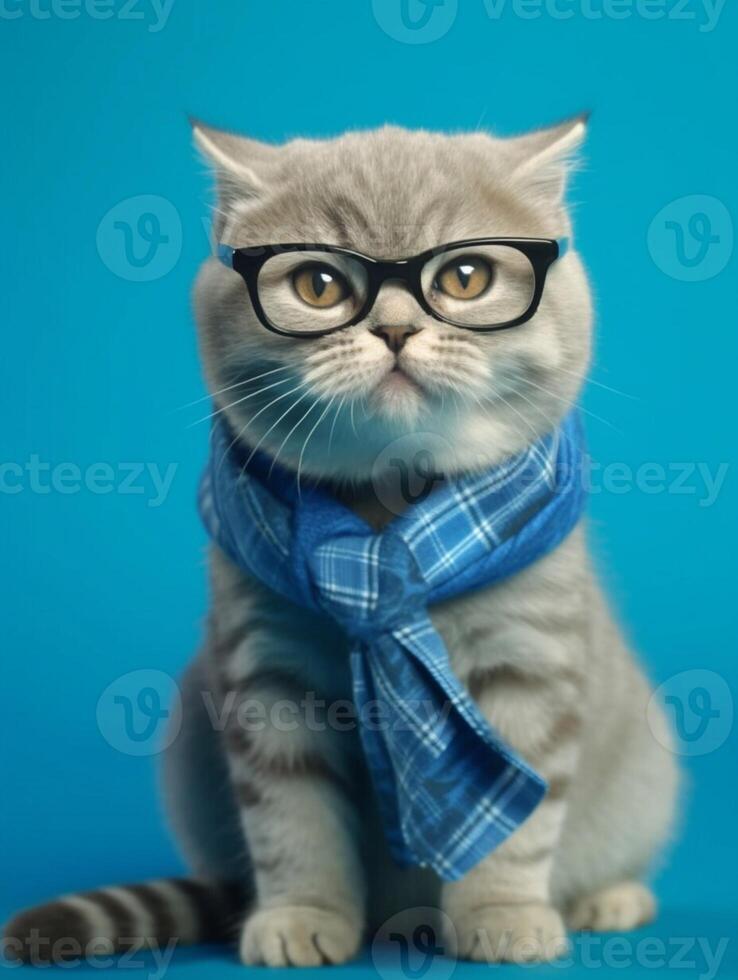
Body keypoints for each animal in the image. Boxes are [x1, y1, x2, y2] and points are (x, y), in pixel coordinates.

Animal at [4, 118, 680, 968]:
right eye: (319, 286)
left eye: (465, 276)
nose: (394, 329)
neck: (386, 557)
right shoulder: (267, 675)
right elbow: (292, 820)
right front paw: (302, 913)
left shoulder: (530, 660)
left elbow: (513, 818)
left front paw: (502, 911)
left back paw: (608, 896)